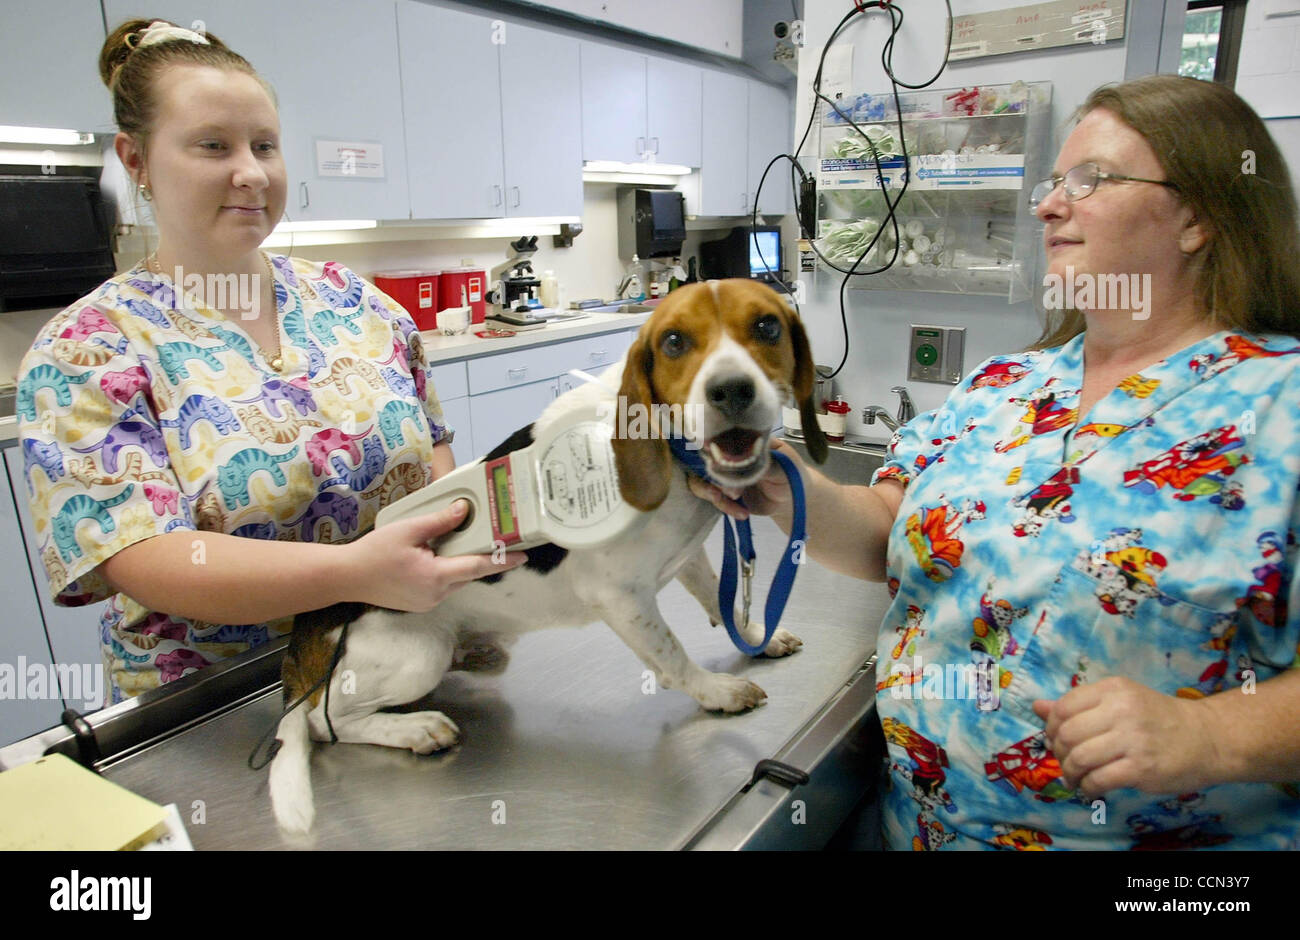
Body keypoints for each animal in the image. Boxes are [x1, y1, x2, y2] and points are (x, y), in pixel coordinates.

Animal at [267, 278, 826, 832]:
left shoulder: (687, 556)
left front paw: (758, 636)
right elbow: (673, 656)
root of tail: (306, 635)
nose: (732, 389)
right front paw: (718, 692)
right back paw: (414, 729)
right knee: (323, 723)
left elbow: (720, 601)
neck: (674, 454)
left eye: (767, 326)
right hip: (415, 655)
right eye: (674, 342)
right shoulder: (620, 598)